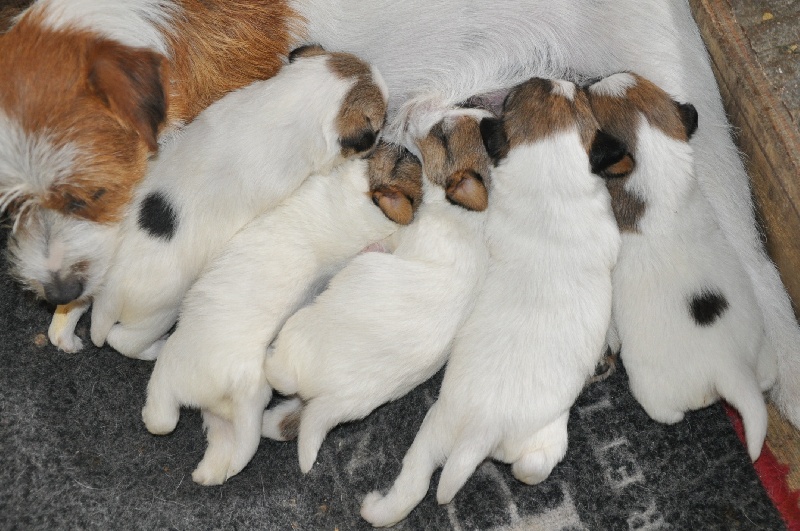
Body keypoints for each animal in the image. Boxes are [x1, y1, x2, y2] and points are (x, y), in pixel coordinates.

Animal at [88, 44, 388, 362]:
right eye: (379, 126)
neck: (290, 102)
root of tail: (106, 297)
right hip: (156, 315)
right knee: (124, 340)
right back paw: (154, 349)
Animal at [140, 141, 422, 486]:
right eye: (404, 160)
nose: (405, 146)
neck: (370, 211)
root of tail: (238, 384)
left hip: (172, 366)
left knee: (161, 415)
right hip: (228, 417)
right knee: (232, 450)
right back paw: (210, 473)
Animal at [360, 79, 628, 528]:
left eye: (443, 136)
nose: (410, 108)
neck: (550, 179)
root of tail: (480, 432)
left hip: (439, 429)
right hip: (472, 433)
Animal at [584, 72, 780, 464]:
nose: (589, 79)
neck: (662, 175)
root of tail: (733, 368)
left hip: (653, 385)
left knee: (665, 410)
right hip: (762, 356)